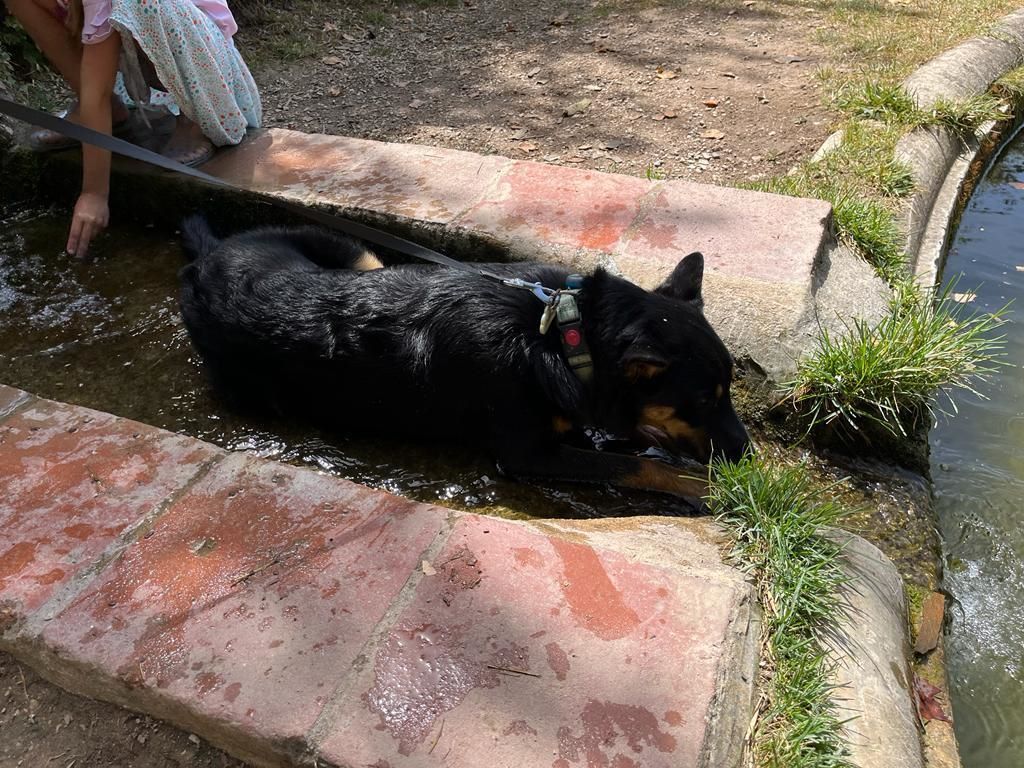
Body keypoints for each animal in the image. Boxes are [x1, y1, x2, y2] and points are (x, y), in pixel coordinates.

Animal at [180, 218, 749, 499]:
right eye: (703, 401)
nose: (746, 454)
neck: (565, 336)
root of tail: (209, 254)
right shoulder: (528, 454)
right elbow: (633, 466)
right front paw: (702, 488)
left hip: (366, 259)